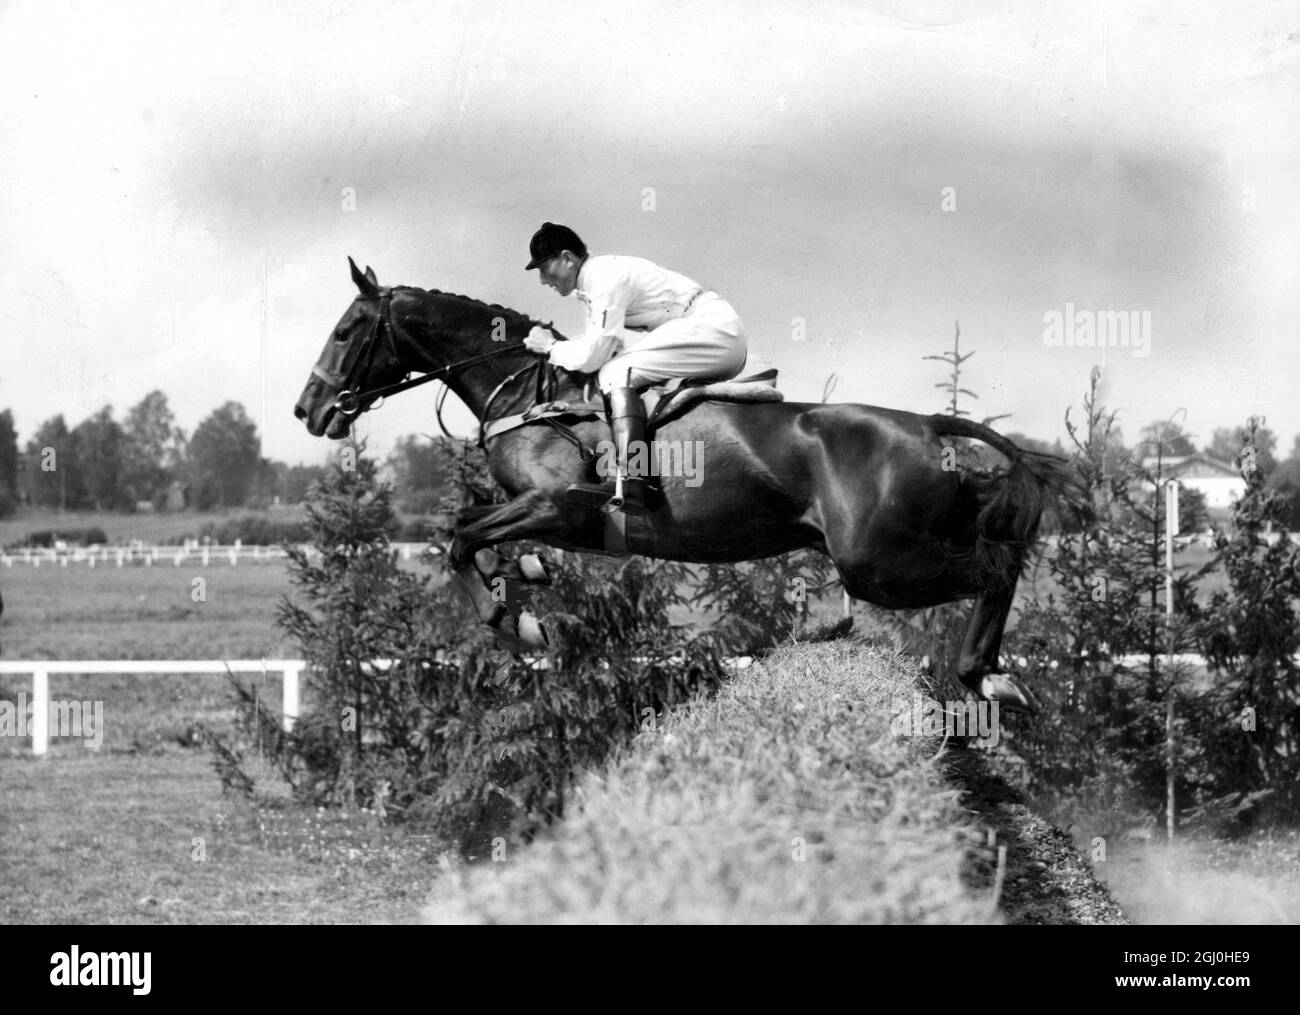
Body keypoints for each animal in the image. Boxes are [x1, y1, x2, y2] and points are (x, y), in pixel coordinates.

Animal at [299, 257, 1071, 706]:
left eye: (345, 331)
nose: (308, 410)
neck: (529, 391)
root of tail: (926, 424)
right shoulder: (536, 510)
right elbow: (467, 527)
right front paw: (522, 578)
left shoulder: (556, 504)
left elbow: (460, 538)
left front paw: (513, 620)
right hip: (907, 543)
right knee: (1000, 551)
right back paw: (989, 674)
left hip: (878, 563)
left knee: (993, 570)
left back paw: (986, 674)